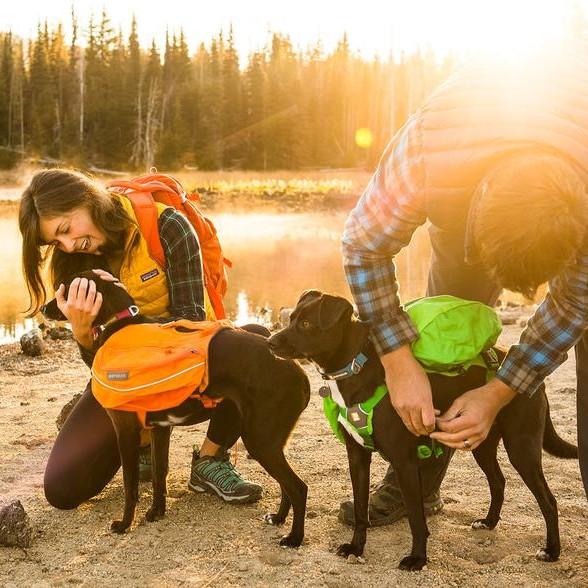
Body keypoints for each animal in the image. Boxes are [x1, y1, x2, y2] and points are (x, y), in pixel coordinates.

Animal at [268, 292, 576, 572]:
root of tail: (533, 380)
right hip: (481, 442)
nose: (271, 341)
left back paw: (552, 551)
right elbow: (360, 510)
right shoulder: (357, 457)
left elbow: (416, 518)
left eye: (306, 324)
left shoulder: (404, 462)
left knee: (548, 501)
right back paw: (488, 522)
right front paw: (356, 548)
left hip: (521, 446)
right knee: (498, 482)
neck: (357, 367)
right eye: (291, 319)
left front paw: (417, 559)